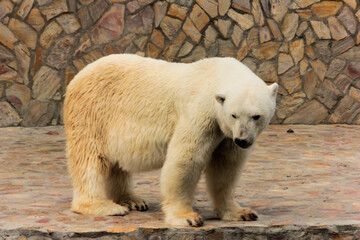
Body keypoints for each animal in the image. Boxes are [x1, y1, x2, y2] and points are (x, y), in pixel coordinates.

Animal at [64, 54, 278, 227]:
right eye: (234, 115)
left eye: (256, 116)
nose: (242, 140)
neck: (215, 75)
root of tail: (77, 76)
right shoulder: (200, 113)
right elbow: (186, 160)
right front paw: (187, 217)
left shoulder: (226, 134)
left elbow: (226, 167)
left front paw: (240, 212)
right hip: (91, 113)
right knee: (90, 159)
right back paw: (103, 206)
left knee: (117, 163)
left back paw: (132, 200)